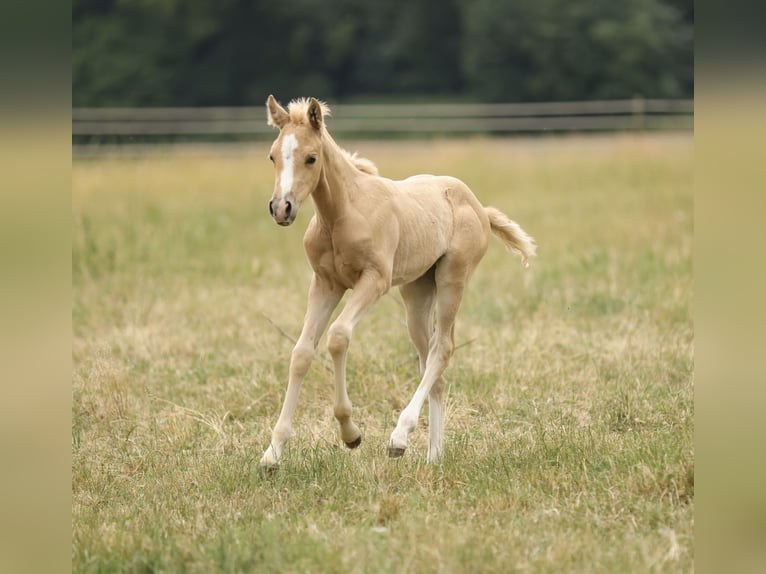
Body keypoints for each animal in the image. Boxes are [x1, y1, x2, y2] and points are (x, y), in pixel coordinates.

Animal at [260, 95, 536, 470]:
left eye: (311, 157)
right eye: (273, 155)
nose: (281, 208)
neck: (344, 213)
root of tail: (479, 207)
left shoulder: (374, 280)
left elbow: (338, 337)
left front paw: (351, 433)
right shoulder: (325, 284)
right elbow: (301, 352)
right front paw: (272, 453)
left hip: (453, 279)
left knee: (442, 348)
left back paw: (399, 438)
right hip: (416, 293)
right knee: (431, 361)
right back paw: (433, 456)